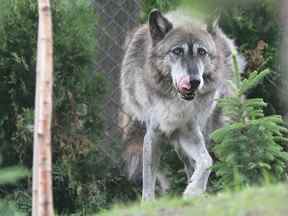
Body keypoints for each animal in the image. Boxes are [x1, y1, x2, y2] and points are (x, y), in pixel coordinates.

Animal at [119, 8, 245, 201]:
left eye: (202, 52)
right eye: (177, 51)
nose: (194, 81)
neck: (176, 102)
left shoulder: (190, 132)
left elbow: (207, 161)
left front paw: (194, 190)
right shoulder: (153, 136)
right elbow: (148, 182)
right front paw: (148, 203)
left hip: (212, 126)